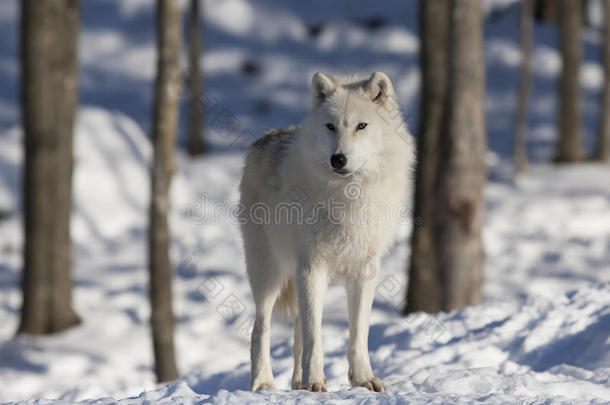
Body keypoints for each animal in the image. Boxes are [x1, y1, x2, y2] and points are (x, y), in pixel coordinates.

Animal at [238, 71, 414, 390]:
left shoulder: (364, 270)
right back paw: (263, 382)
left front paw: (363, 379)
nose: (338, 159)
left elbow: (358, 335)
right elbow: (314, 336)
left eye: (361, 126)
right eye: (331, 126)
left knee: (296, 332)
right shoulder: (312, 267)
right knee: (261, 328)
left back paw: (296, 382)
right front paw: (315, 383)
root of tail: (263, 138)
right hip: (269, 273)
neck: (348, 197)